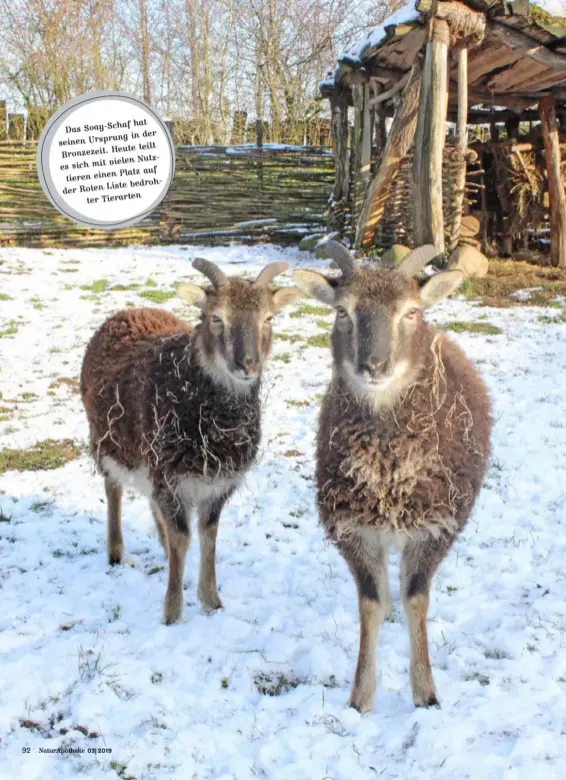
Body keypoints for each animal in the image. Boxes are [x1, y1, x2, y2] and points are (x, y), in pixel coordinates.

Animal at [81, 258, 302, 624]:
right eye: (216, 317)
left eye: (268, 318)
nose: (247, 364)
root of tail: (128, 311)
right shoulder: (172, 479)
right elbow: (183, 539)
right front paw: (172, 612)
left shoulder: (217, 482)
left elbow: (208, 536)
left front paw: (211, 601)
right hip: (107, 439)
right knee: (113, 488)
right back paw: (115, 552)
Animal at [296, 244, 494, 712]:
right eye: (343, 312)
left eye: (410, 312)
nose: (374, 365)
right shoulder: (352, 527)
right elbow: (369, 602)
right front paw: (360, 696)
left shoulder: (436, 526)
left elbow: (416, 598)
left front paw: (425, 693)